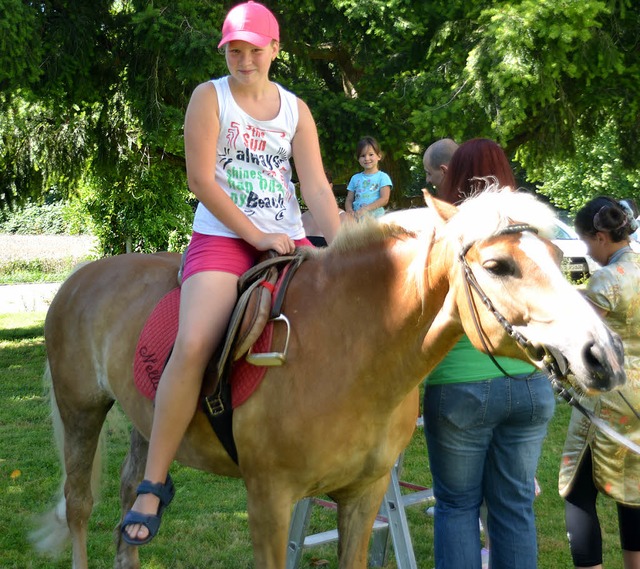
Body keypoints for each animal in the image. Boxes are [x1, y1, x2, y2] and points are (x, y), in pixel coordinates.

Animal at [36, 189, 624, 564]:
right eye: (500, 265)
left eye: (558, 255)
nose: (605, 354)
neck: (350, 347)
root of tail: (79, 277)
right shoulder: (269, 503)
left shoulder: (364, 499)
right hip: (81, 411)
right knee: (80, 506)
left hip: (144, 421)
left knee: (130, 500)